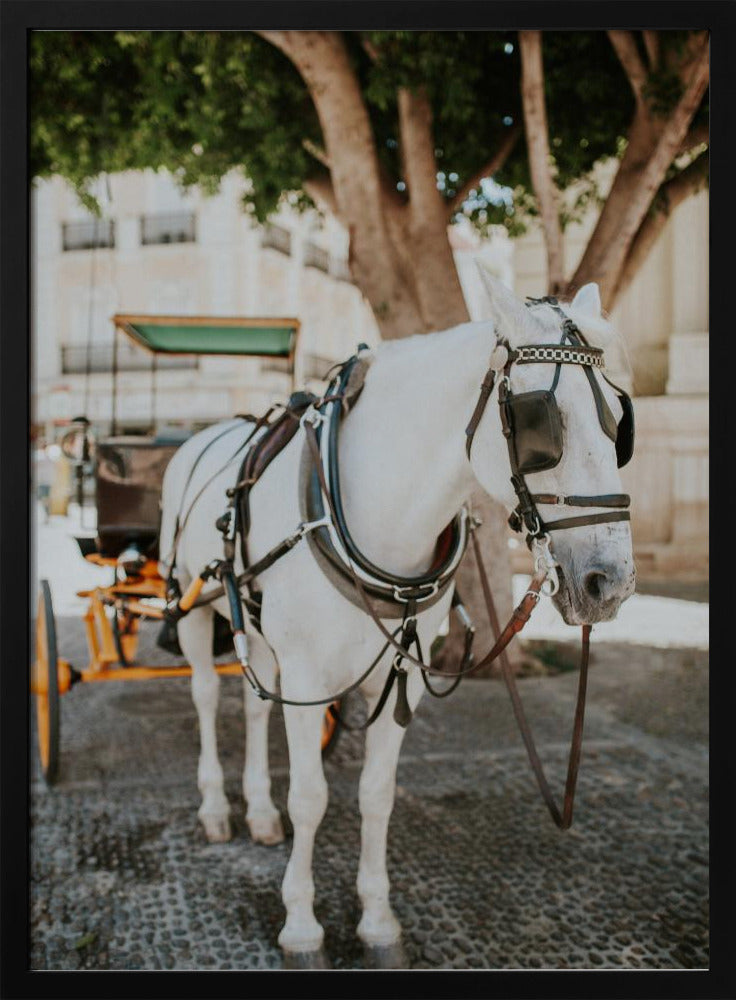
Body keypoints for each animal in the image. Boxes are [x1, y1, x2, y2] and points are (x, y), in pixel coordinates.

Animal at [160, 278, 632, 964]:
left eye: (620, 423)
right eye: (539, 420)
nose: (611, 582)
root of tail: (202, 434)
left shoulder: (400, 670)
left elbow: (376, 796)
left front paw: (378, 920)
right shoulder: (308, 678)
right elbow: (311, 798)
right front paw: (301, 925)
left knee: (252, 705)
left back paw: (259, 812)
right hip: (193, 608)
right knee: (202, 695)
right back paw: (217, 807)